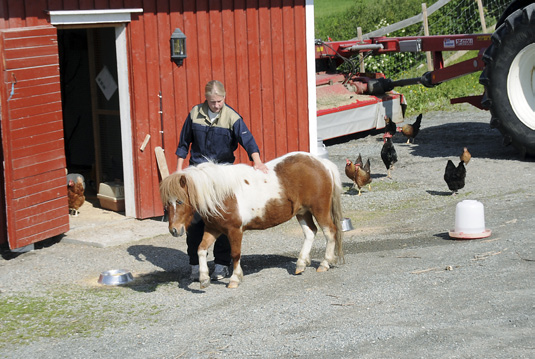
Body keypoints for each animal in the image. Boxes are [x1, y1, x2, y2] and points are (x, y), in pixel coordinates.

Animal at [159, 152, 344, 290]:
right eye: (167, 203)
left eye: (180, 201)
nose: (174, 230)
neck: (222, 194)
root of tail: (321, 163)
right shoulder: (213, 229)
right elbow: (201, 249)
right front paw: (204, 279)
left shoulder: (234, 230)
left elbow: (235, 254)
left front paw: (235, 279)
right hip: (302, 212)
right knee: (310, 233)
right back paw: (301, 264)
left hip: (319, 210)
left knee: (330, 232)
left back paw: (325, 263)